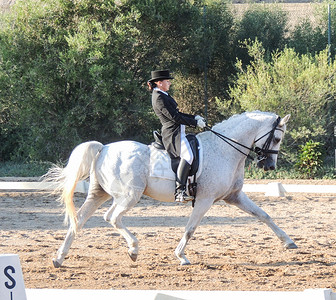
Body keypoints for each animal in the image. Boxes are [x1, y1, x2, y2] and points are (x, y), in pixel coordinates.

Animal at [44, 110, 296, 268]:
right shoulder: (205, 200)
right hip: (129, 196)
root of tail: (103, 148)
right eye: (276, 138)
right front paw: (181, 256)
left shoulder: (234, 196)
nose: (269, 166)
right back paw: (133, 249)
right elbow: (190, 229)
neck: (224, 149)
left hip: (99, 194)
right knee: (112, 217)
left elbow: (264, 215)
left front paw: (289, 242)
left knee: (79, 220)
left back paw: (59, 258)